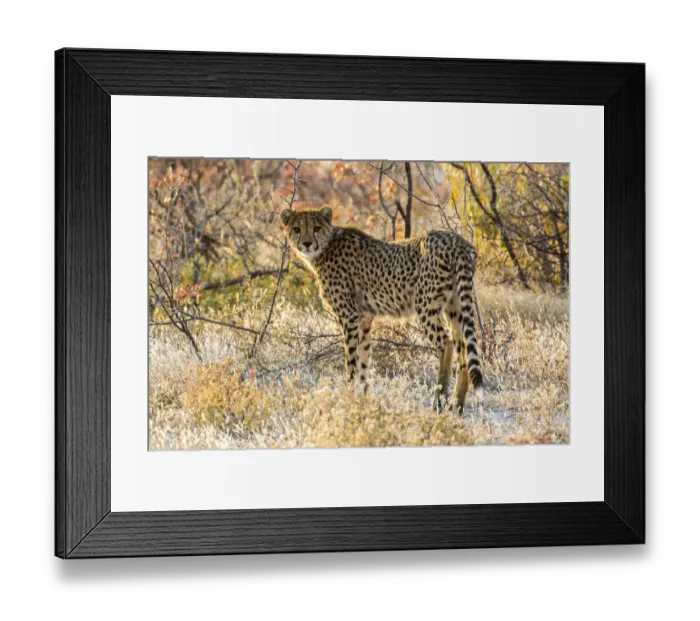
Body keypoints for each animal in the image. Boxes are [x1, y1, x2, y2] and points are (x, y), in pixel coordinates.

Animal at [280, 206, 484, 411]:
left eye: (316, 228)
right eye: (297, 229)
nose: (306, 243)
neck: (326, 246)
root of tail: (457, 241)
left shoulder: (349, 317)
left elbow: (351, 362)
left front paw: (349, 396)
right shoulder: (365, 319)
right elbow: (363, 362)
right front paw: (363, 400)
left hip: (425, 305)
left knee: (446, 344)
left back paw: (439, 399)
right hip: (455, 306)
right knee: (463, 351)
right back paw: (457, 405)